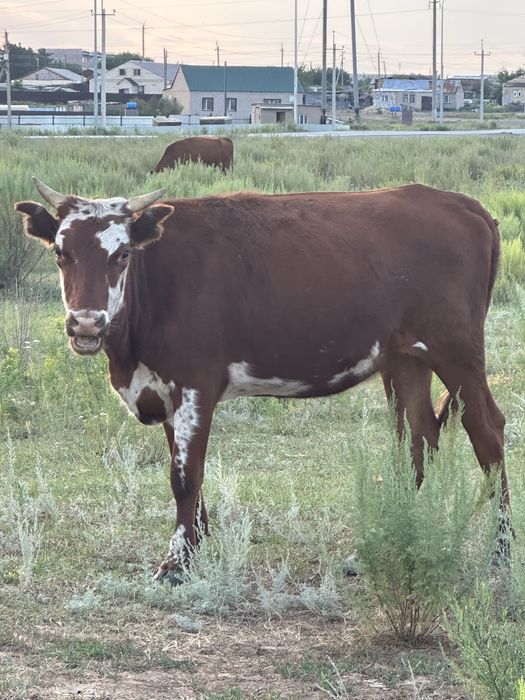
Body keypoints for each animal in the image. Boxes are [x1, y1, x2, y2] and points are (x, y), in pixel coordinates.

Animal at [15, 178, 510, 583]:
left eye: (121, 254)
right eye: (61, 252)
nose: (85, 323)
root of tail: (464, 204)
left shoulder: (195, 383)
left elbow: (185, 475)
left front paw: (175, 563)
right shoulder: (165, 388)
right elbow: (185, 471)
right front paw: (197, 546)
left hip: (457, 352)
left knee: (486, 431)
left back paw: (500, 549)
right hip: (405, 359)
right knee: (418, 436)